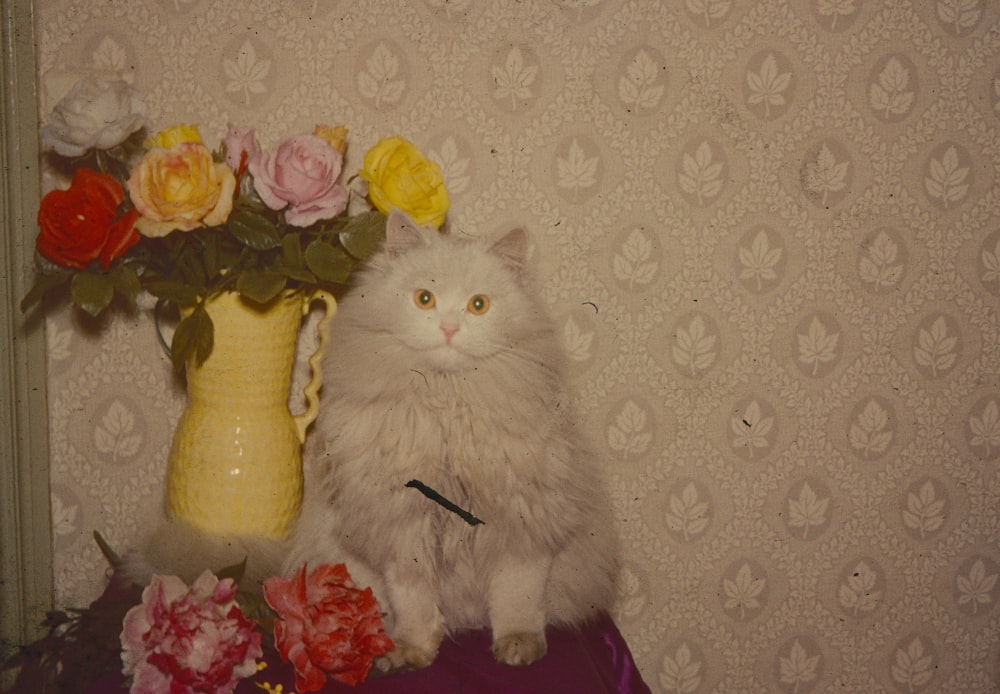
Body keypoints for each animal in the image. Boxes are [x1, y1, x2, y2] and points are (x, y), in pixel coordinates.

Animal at [282, 211, 620, 668]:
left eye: (478, 305)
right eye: (425, 299)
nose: (448, 328)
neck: (446, 403)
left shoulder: (522, 527)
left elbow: (517, 600)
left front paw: (518, 646)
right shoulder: (403, 530)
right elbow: (414, 605)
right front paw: (411, 651)